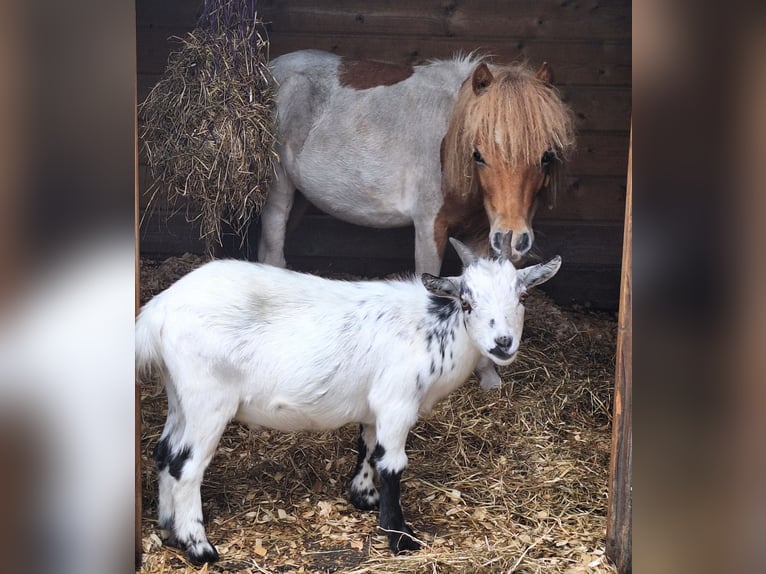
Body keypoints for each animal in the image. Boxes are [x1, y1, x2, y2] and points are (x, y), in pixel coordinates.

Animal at [135, 240, 560, 568]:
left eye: (522, 297)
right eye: (467, 302)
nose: (502, 343)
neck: (431, 329)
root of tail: (159, 309)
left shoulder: (375, 408)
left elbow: (370, 450)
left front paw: (364, 498)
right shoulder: (397, 402)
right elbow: (392, 464)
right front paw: (400, 536)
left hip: (180, 394)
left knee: (164, 452)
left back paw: (169, 528)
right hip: (209, 398)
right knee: (186, 465)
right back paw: (199, 546)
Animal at [258, 49, 576, 274]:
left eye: (546, 156)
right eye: (478, 155)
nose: (512, 239)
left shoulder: (477, 235)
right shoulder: (429, 228)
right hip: (279, 189)